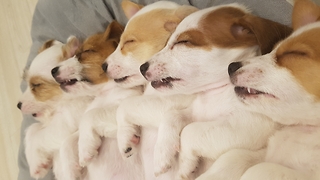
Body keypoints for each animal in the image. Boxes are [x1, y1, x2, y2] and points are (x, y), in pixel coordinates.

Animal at [17, 35, 93, 179]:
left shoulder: (65, 124)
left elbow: (38, 135)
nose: (18, 105)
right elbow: (32, 128)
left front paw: (37, 165)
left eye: (36, 85)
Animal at [52, 21, 144, 180]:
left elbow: (89, 117)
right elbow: (67, 142)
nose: (52, 71)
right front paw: (71, 171)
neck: (104, 93)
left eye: (85, 52)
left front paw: (85, 148)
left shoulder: (127, 101)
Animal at [229, 0, 320, 179]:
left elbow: (260, 169)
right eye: (273, 48)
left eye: (295, 53)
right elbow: (236, 156)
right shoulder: (265, 153)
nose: (231, 66)